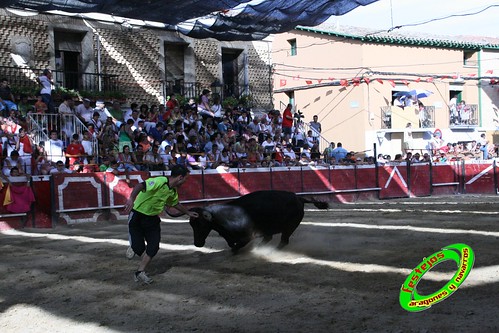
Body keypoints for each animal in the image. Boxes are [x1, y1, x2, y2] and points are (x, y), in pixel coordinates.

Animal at [187, 189, 328, 249]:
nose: (197, 243)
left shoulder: (248, 236)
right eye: (191, 225)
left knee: (283, 241)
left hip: (289, 226)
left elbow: (236, 247)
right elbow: (232, 244)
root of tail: (299, 198)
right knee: (270, 238)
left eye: (201, 224)